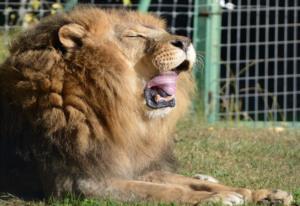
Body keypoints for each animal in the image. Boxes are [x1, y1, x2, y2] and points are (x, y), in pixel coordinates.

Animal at [0, 6, 292, 204]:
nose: (186, 41)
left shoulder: (138, 166)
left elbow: (178, 181)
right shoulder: (79, 183)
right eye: (135, 36)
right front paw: (213, 200)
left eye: (163, 32)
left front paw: (256, 193)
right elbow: (160, 191)